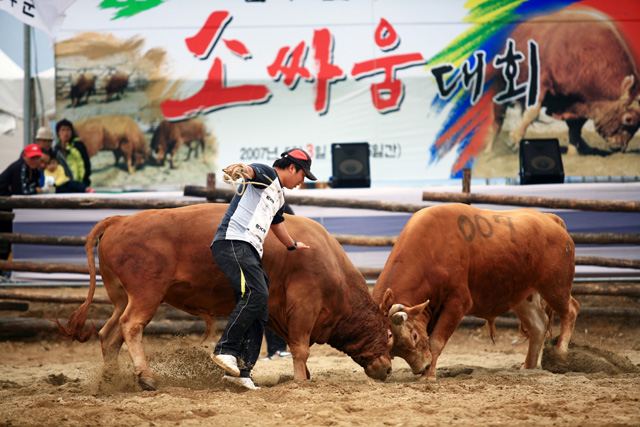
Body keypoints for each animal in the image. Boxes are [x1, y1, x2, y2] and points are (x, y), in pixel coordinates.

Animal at [57, 204, 392, 392]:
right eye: (389, 333)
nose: (389, 369)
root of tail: (119, 219)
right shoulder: (304, 303)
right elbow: (300, 349)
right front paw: (300, 381)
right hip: (145, 294)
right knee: (130, 326)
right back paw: (146, 376)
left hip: (120, 297)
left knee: (108, 334)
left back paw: (111, 380)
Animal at [376, 204, 580, 382]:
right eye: (394, 351)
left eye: (414, 336)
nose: (422, 367)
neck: (432, 248)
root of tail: (551, 219)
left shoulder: (458, 302)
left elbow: (436, 341)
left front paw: (429, 376)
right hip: (522, 296)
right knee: (538, 326)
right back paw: (527, 368)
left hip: (555, 287)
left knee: (570, 310)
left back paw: (560, 354)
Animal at [484, 7, 640, 154]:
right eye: (628, 119)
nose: (620, 148)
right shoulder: (541, 83)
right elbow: (532, 113)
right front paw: (514, 140)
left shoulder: (578, 101)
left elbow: (575, 126)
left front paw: (573, 152)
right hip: (502, 84)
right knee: (498, 117)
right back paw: (489, 150)